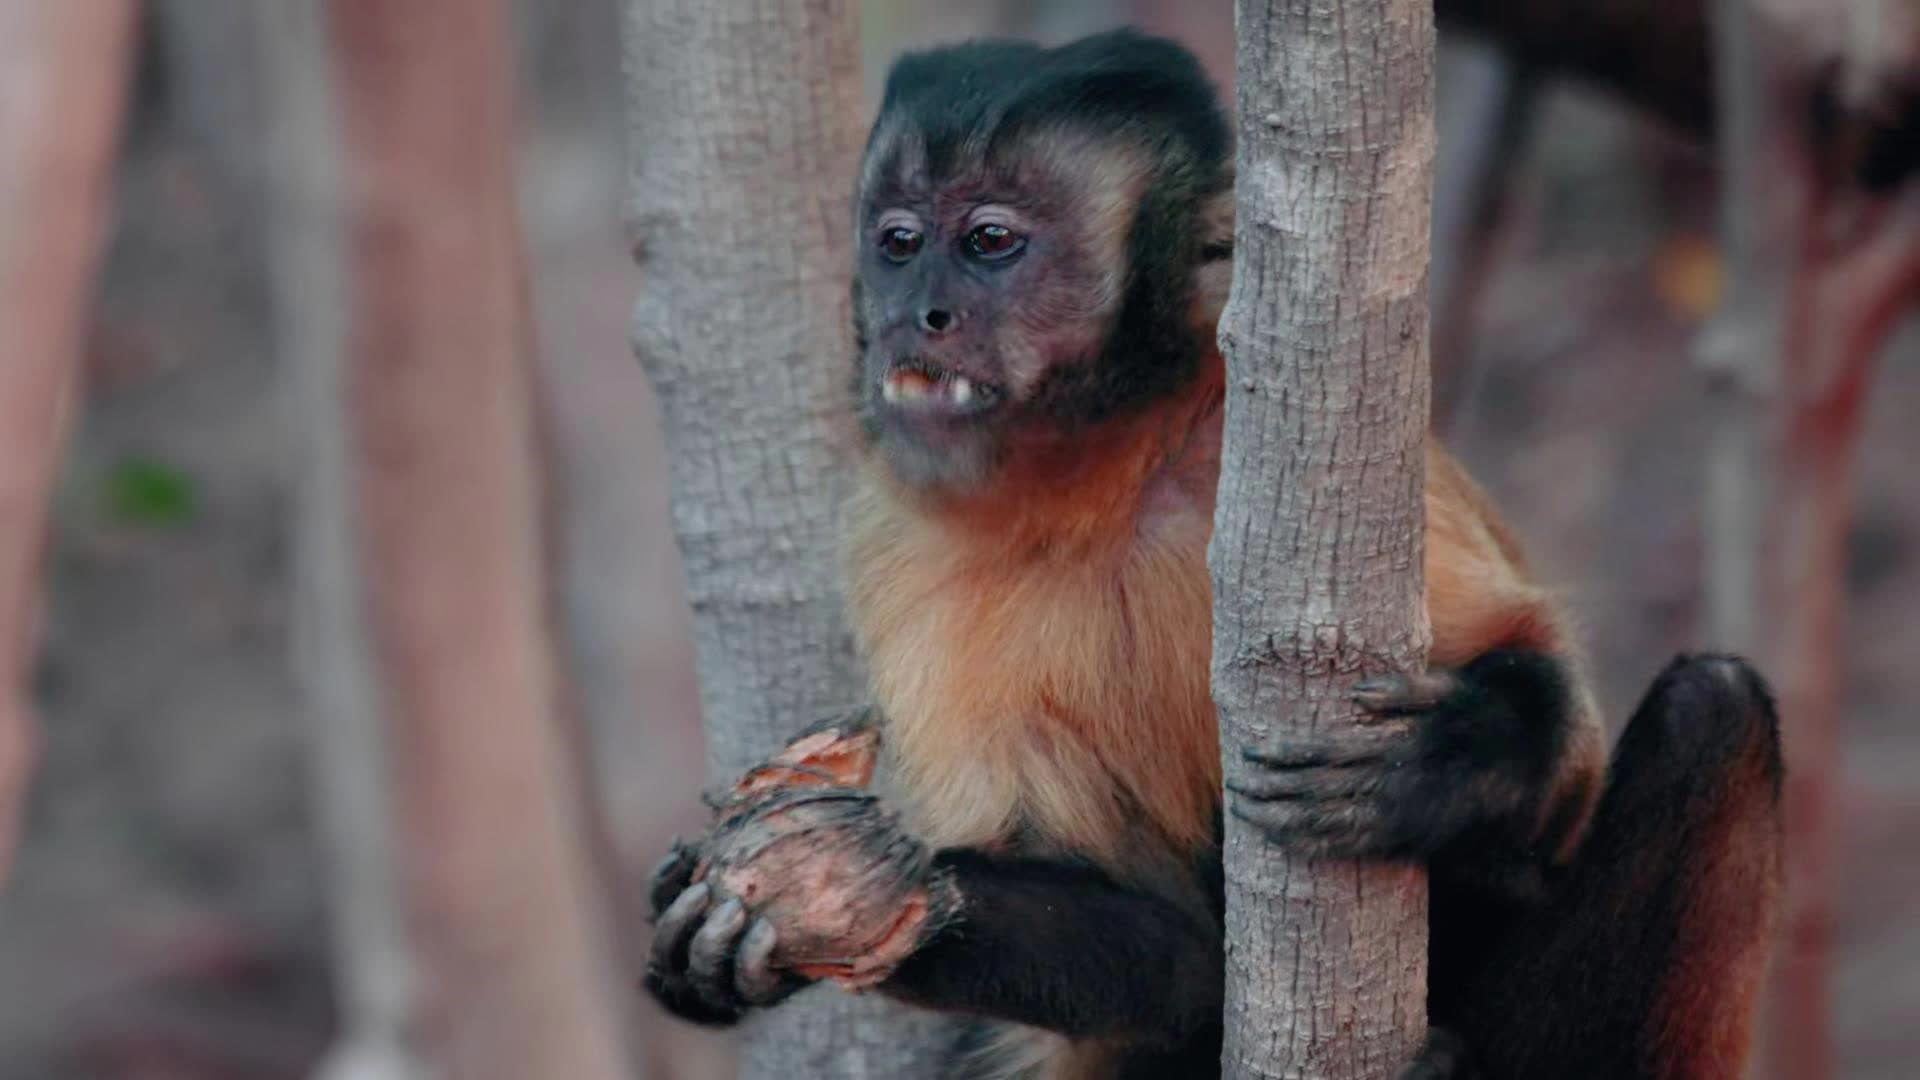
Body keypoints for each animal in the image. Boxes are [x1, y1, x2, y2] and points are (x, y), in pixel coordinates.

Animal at [645, 27, 1781, 1076]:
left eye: (989, 242)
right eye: (897, 241)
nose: (913, 314)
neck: (1109, 476)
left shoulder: (1272, 431)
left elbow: (1551, 725)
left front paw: (1442, 763)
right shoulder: (900, 545)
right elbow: (1175, 955)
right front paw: (819, 914)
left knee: (1713, 707)